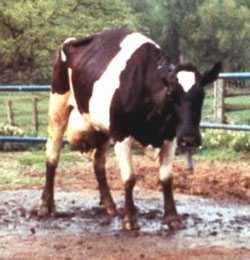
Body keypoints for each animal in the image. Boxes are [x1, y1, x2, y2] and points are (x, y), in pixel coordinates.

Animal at [37, 26, 221, 230]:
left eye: (201, 94)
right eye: (172, 94)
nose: (189, 138)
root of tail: (71, 41)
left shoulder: (170, 137)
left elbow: (166, 177)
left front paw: (172, 217)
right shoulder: (121, 134)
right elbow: (130, 178)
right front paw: (130, 219)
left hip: (102, 127)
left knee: (98, 163)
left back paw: (109, 205)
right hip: (57, 107)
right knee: (52, 156)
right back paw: (46, 206)